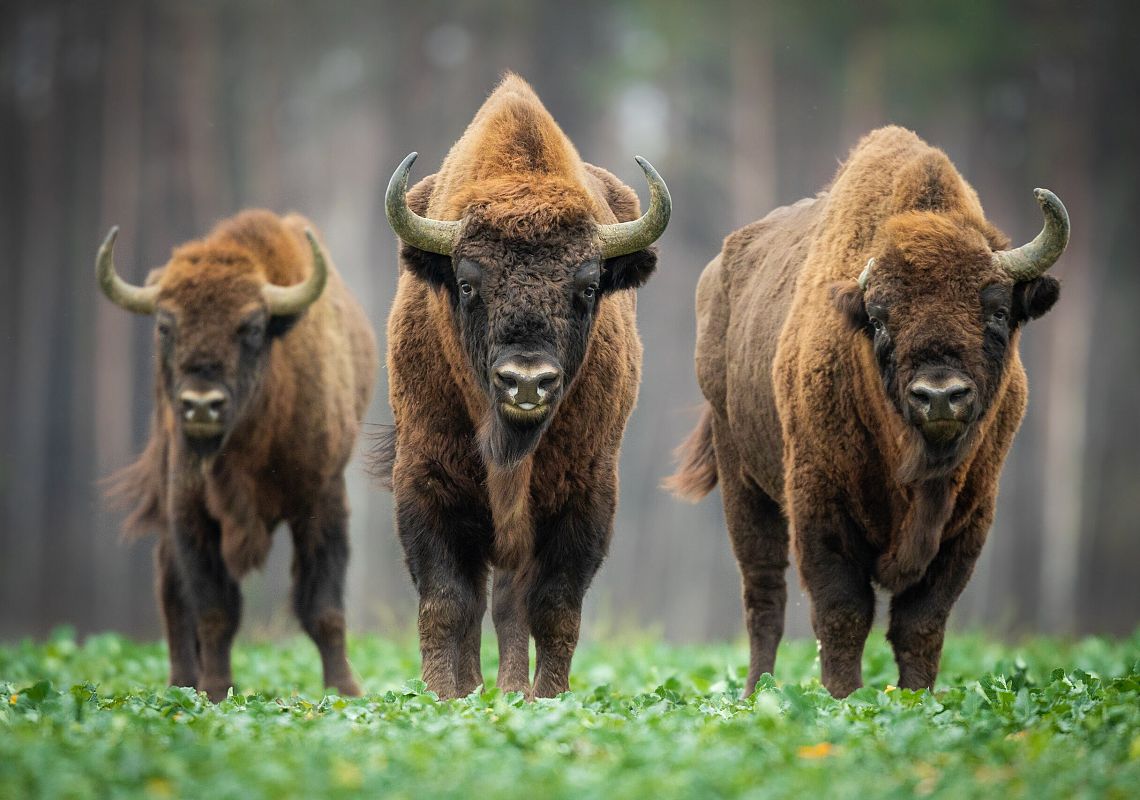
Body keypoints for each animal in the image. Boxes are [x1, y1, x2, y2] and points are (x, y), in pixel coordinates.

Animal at [100, 211, 376, 701]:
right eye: (165, 326)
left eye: (251, 327)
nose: (200, 405)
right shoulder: (190, 511)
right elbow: (215, 609)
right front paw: (214, 690)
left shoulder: (322, 500)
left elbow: (323, 607)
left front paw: (344, 691)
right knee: (172, 591)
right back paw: (181, 683)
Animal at [373, 76, 670, 701]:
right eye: (467, 283)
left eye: (588, 286)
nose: (526, 382)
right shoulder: (426, 480)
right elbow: (446, 603)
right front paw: (443, 697)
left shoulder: (586, 494)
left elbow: (554, 608)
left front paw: (546, 698)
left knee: (511, 605)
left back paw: (511, 691)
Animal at [665, 125, 1067, 697]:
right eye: (879, 319)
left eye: (997, 310)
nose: (939, 395)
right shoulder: (820, 507)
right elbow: (843, 613)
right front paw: (845, 699)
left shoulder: (969, 521)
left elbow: (921, 623)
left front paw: (917, 699)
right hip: (743, 481)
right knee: (764, 596)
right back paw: (756, 693)